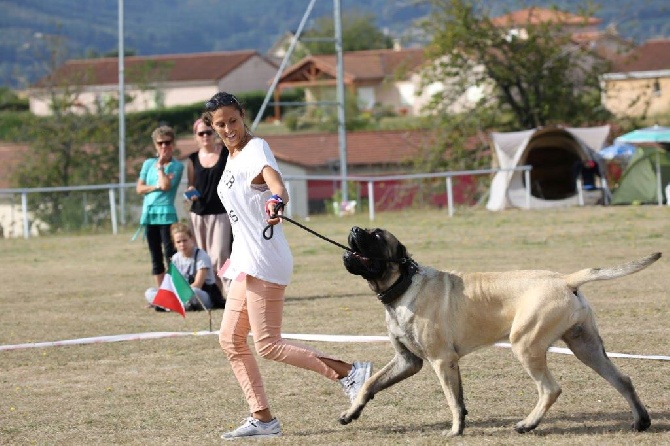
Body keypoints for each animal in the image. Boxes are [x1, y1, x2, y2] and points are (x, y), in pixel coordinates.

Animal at [342, 226, 660, 436]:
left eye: (376, 237)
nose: (355, 228)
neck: (404, 283)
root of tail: (565, 279)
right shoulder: (408, 361)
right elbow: (371, 384)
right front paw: (350, 412)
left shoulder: (442, 361)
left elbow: (452, 399)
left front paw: (455, 430)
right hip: (585, 346)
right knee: (622, 379)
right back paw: (641, 421)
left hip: (526, 343)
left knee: (550, 388)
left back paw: (528, 424)